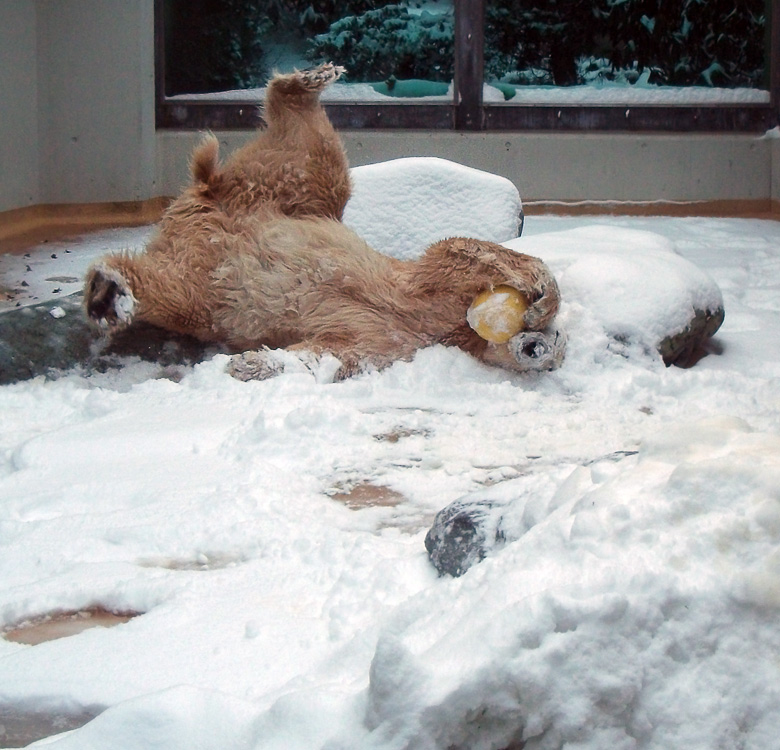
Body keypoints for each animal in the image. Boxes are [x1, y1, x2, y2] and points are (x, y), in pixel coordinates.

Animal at [84, 62, 560, 382]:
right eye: (559, 341)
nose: (542, 349)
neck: (452, 329)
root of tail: (200, 201)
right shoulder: (428, 296)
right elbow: (450, 255)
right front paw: (540, 292)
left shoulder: (394, 342)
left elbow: (334, 354)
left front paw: (250, 363)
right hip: (281, 195)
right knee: (318, 163)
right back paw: (310, 80)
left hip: (203, 284)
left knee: (169, 292)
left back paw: (111, 293)